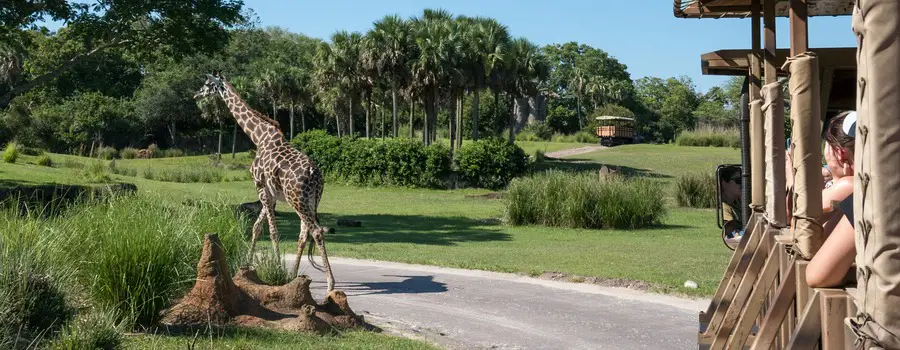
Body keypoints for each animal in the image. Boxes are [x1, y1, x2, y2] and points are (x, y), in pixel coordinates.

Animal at [194, 70, 338, 290]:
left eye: (208, 84)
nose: (196, 95)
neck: (259, 137)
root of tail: (314, 173)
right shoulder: (271, 194)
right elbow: (256, 227)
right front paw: (248, 265)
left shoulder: (260, 187)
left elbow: (272, 231)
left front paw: (276, 269)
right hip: (312, 200)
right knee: (304, 233)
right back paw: (294, 275)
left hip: (297, 200)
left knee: (316, 231)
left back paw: (330, 284)